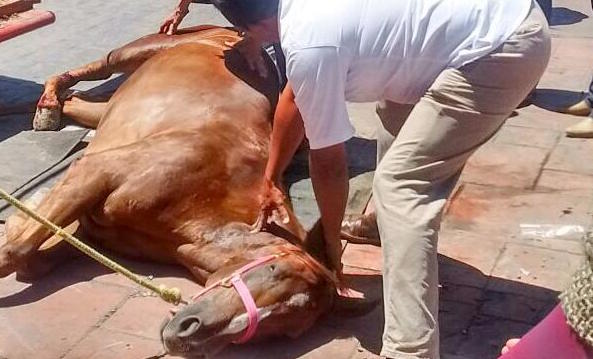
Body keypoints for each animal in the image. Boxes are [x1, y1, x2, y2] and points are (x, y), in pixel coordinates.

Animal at [0, 26, 366, 358]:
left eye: (286, 327)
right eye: (274, 270)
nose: (192, 335)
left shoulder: (91, 234)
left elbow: (32, 259)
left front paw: (20, 225)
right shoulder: (93, 173)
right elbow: (16, 251)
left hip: (107, 109)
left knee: (74, 101)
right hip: (134, 52)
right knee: (93, 69)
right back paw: (46, 107)